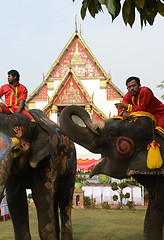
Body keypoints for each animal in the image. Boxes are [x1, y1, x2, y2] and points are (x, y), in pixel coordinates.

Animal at [0, 109, 76, 240]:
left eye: (16, 150)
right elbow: (15, 201)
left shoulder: (46, 161)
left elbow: (41, 198)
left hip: (71, 166)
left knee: (65, 202)